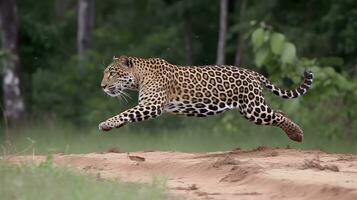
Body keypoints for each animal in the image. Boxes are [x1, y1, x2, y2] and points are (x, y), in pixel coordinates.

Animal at [98, 55, 312, 141]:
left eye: (112, 74)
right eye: (106, 73)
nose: (102, 86)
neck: (139, 77)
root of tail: (252, 72)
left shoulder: (152, 105)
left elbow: (126, 112)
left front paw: (106, 123)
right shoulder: (146, 105)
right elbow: (128, 114)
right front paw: (112, 126)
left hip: (253, 108)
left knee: (278, 115)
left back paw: (297, 134)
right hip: (250, 109)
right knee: (280, 111)